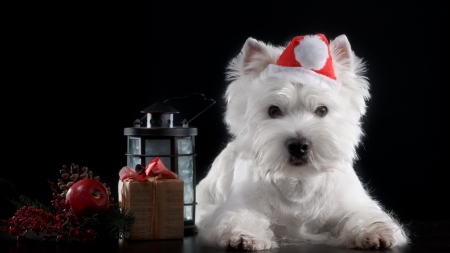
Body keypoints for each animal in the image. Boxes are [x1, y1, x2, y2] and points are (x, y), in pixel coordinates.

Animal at [195, 34, 410, 251]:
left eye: (322, 110)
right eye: (273, 111)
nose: (298, 146)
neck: (299, 184)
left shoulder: (355, 204)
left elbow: (364, 216)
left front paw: (375, 233)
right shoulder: (237, 205)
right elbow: (238, 217)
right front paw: (243, 236)